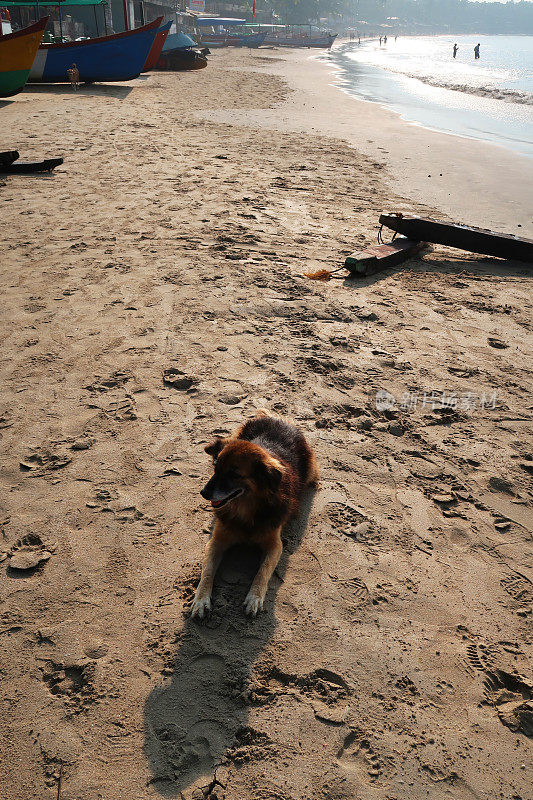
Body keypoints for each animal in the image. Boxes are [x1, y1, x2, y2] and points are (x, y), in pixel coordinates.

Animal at [190, 412, 318, 620]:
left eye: (234, 475)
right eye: (215, 468)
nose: (204, 493)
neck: (246, 509)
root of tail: (275, 418)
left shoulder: (274, 545)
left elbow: (263, 572)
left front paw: (254, 598)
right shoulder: (216, 541)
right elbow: (207, 571)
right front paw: (201, 600)